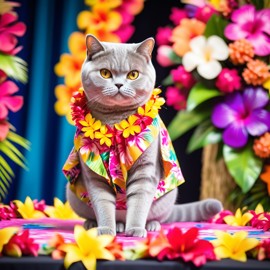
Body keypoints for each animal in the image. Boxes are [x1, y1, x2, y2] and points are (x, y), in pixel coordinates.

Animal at [62, 34, 221, 237]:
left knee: (156, 216)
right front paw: (105, 230)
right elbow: (103, 204)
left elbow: (138, 204)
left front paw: (136, 230)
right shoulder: (95, 175)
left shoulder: (145, 172)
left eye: (133, 74)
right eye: (105, 73)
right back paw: (96, 224)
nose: (119, 84)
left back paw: (150, 225)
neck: (116, 121)